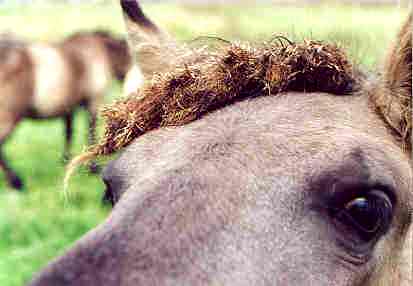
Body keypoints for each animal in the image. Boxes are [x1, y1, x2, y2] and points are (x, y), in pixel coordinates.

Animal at [0, 30, 131, 190]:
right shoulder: (93, 102)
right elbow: (91, 133)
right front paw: (93, 168)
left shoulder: (68, 109)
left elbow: (69, 132)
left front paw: (65, 159)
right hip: (9, 117)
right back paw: (16, 181)